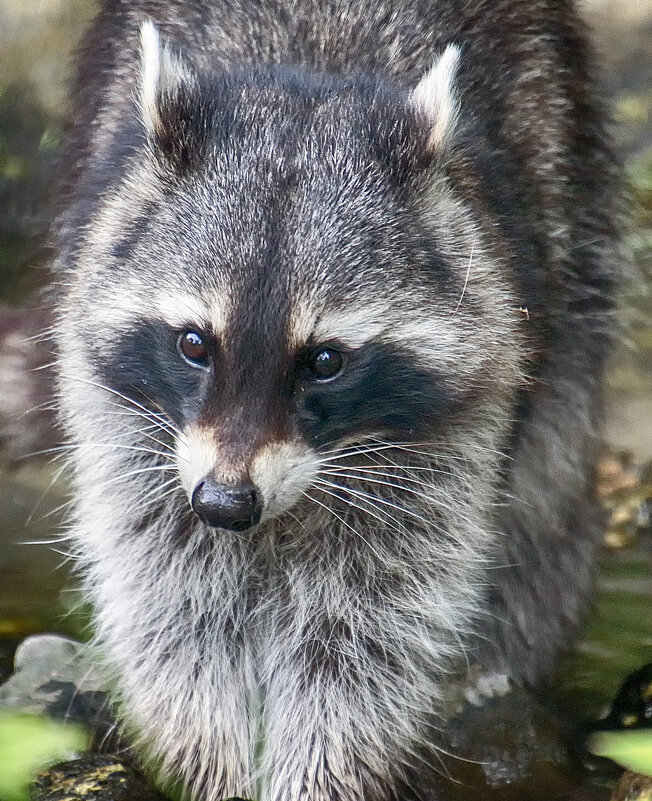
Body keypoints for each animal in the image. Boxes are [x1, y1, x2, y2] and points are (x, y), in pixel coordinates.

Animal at [52, 1, 620, 800]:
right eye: (194, 343)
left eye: (325, 361)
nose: (226, 504)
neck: (308, 84)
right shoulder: (127, 415)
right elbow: (173, 595)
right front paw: (210, 756)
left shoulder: (448, 427)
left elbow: (363, 629)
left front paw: (320, 773)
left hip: (575, 232)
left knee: (544, 503)